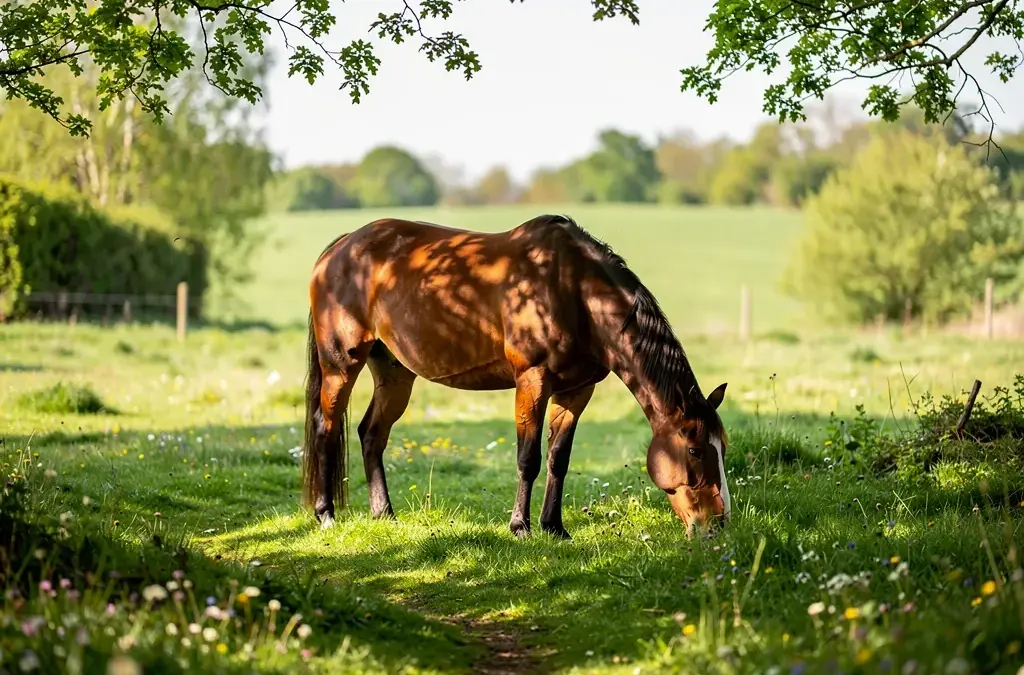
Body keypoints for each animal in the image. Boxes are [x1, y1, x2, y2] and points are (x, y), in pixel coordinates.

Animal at [301, 214, 730, 539]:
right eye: (695, 449)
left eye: (722, 447)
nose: (718, 523)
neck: (572, 291)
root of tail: (338, 248)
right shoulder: (532, 381)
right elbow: (529, 458)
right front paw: (520, 526)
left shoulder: (577, 391)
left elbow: (559, 459)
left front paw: (554, 526)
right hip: (340, 365)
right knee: (326, 427)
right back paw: (326, 515)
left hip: (394, 373)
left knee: (371, 433)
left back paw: (385, 514)